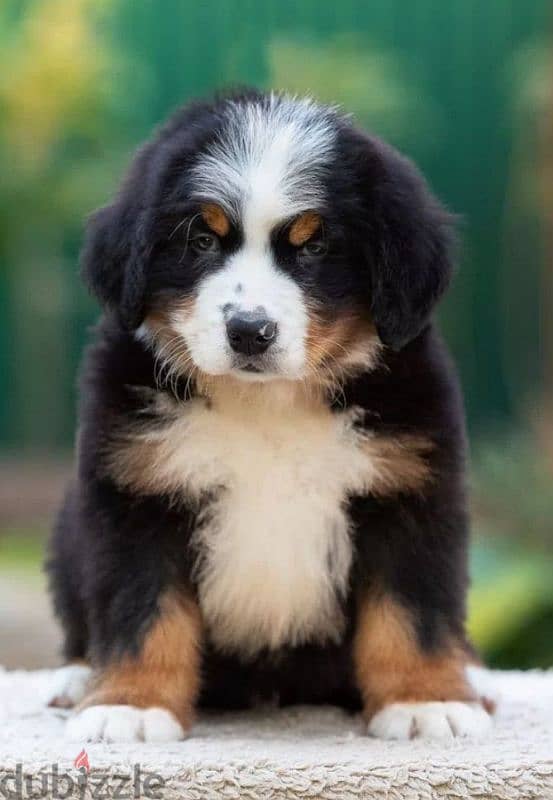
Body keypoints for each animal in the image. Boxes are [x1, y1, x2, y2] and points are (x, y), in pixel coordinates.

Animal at [46, 89, 492, 744]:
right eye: (202, 241)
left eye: (315, 247)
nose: (249, 331)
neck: (267, 406)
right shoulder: (136, 491)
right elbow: (143, 608)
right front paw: (130, 704)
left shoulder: (409, 489)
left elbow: (411, 609)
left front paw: (425, 699)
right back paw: (80, 678)